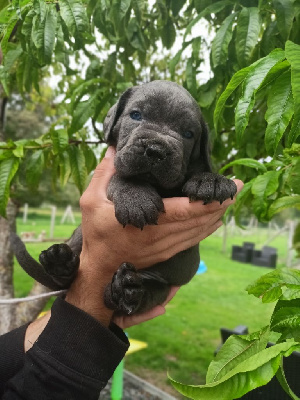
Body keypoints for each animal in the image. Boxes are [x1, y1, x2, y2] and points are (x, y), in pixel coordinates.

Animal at [11, 81, 237, 316]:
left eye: (188, 133)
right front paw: (135, 198)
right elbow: (121, 177)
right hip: (80, 236)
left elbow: (197, 172)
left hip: (160, 285)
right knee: (68, 277)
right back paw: (60, 263)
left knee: (142, 294)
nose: (156, 150)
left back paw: (126, 291)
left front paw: (212, 180)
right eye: (136, 115)